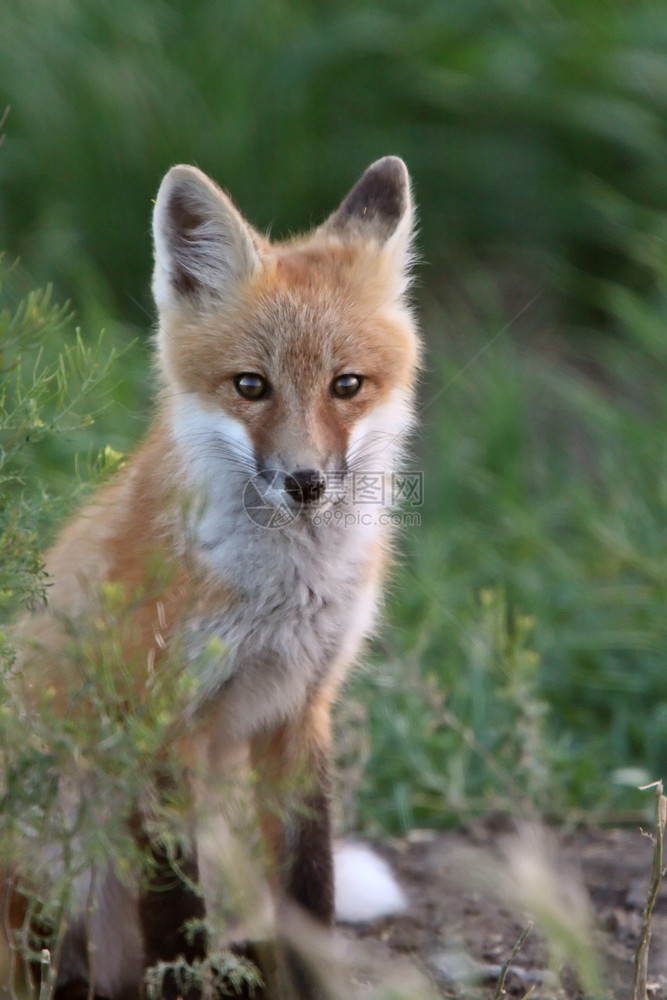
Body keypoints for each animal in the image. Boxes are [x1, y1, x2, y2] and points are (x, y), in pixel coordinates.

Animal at [5, 156, 420, 1000]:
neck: (284, 593)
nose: (304, 482)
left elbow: (310, 896)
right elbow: (174, 918)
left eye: (347, 385)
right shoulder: (160, 729)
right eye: (250, 386)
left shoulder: (301, 710)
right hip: (58, 855)